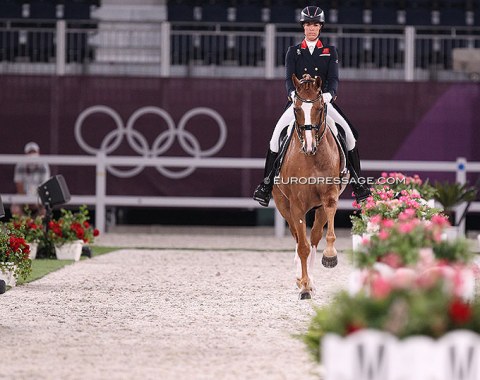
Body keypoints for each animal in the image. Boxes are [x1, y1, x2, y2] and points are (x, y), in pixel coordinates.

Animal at [272, 74, 344, 300]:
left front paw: (330, 257)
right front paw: (303, 287)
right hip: (284, 206)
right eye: (296, 109)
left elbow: (324, 236)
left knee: (314, 238)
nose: (310, 146)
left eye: (320, 108)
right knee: (299, 239)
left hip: (318, 210)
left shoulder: (329, 197)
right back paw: (302, 280)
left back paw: (311, 280)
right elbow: (302, 246)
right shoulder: (296, 205)